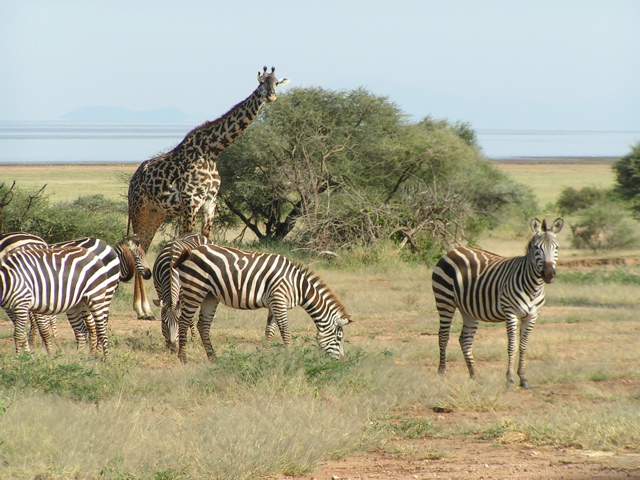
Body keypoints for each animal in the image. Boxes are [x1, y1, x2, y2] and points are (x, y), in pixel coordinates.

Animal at [127, 66, 290, 318]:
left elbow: (207, 243)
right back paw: (141, 308)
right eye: (262, 82)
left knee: (143, 246)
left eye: (277, 83)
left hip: (157, 213)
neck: (213, 151)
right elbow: (186, 244)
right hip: (140, 208)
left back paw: (144, 308)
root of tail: (132, 180)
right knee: (136, 248)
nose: (271, 96)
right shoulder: (190, 202)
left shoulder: (210, 204)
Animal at [171, 244, 350, 364]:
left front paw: (265, 356)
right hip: (195, 288)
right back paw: (183, 358)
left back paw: (213, 358)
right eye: (339, 338)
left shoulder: (274, 303)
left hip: (210, 295)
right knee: (184, 321)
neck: (297, 285)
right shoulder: (279, 300)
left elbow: (269, 331)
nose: (342, 361)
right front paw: (290, 358)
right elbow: (285, 331)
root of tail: (192, 250)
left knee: (203, 324)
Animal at [432, 218, 564, 390]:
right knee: (443, 335)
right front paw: (509, 380)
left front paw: (523, 379)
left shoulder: (532, 316)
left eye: (556, 247)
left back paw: (475, 375)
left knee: (465, 340)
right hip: (444, 300)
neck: (533, 286)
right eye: (537, 248)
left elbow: (523, 346)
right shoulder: (511, 313)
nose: (548, 274)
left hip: (469, 309)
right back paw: (442, 373)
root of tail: (454, 251)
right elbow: (512, 346)